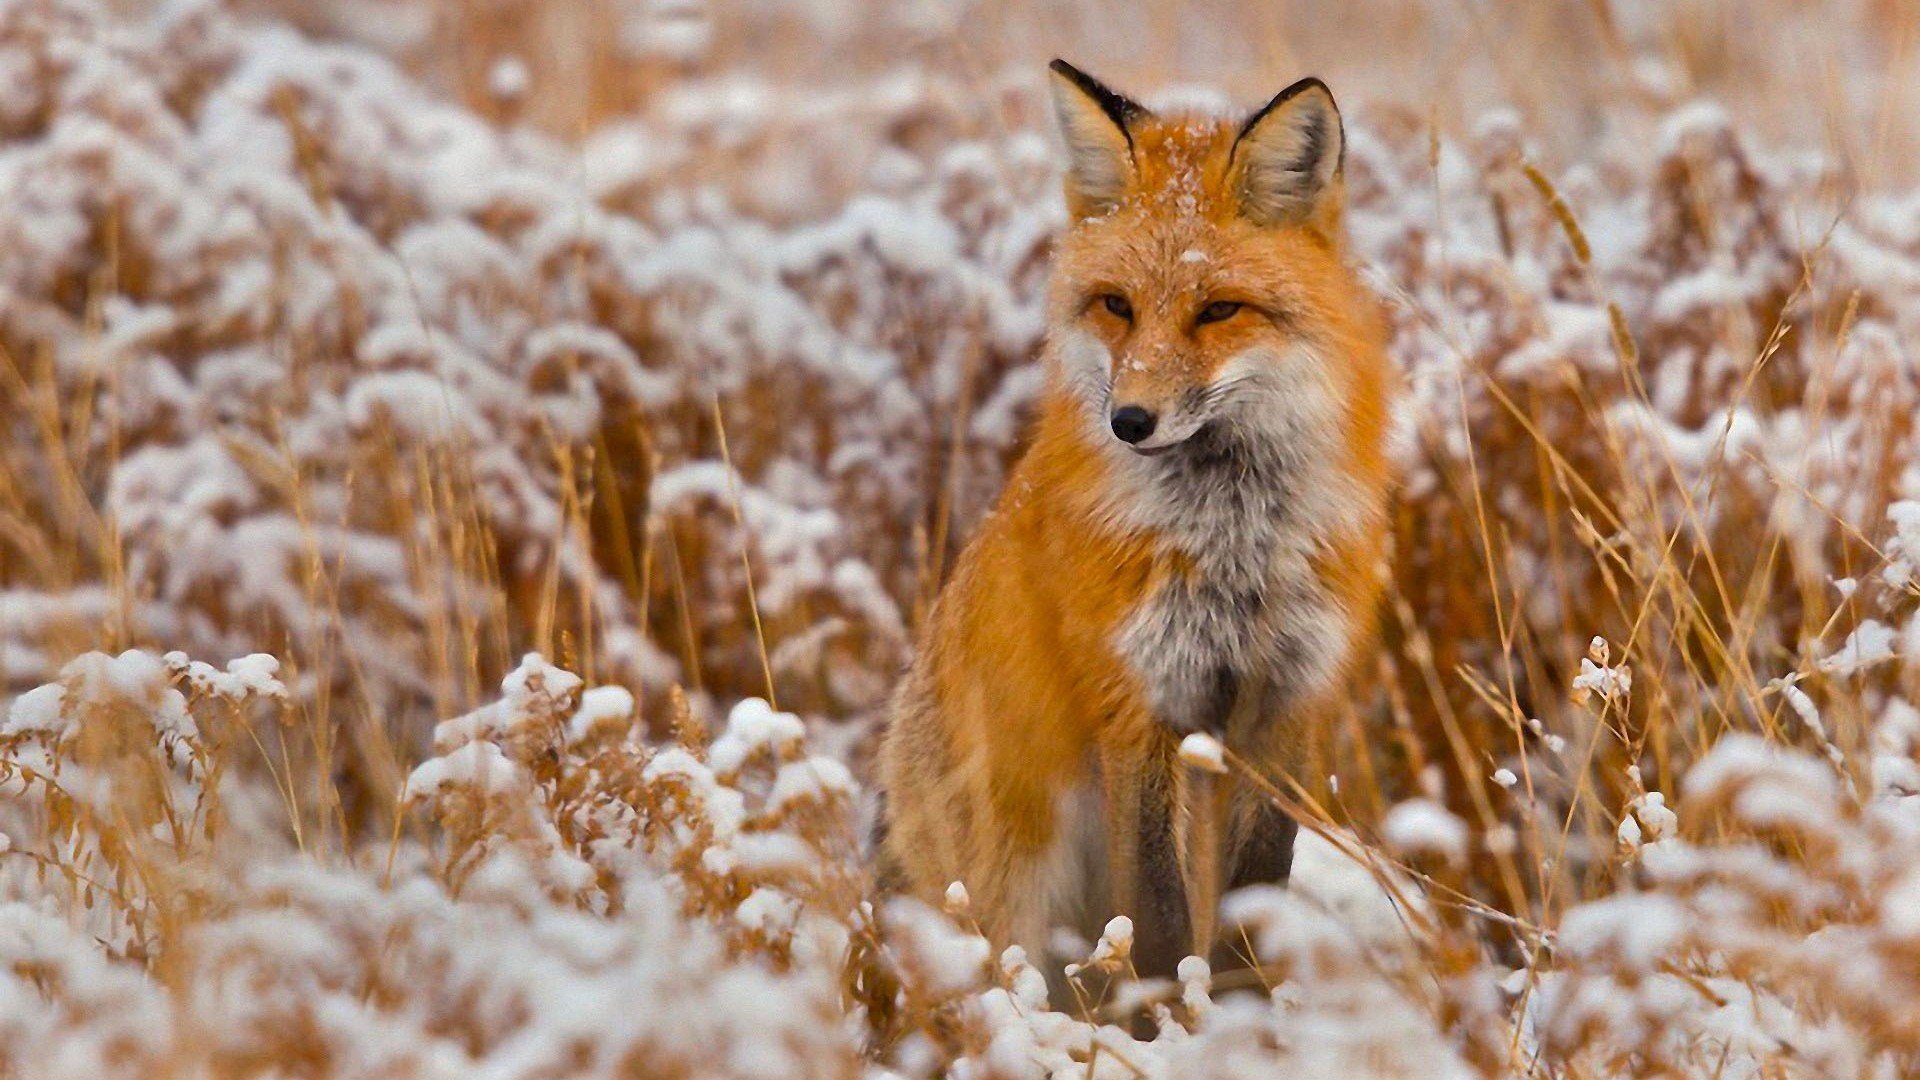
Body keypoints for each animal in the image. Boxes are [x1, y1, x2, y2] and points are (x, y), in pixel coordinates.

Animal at [875, 60, 1396, 979]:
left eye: (1219, 310)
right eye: (1116, 305)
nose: (1130, 420)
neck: (1234, 543)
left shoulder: (1287, 702)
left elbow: (1254, 894)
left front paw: (1241, 1005)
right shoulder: (1137, 702)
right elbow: (1153, 916)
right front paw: (1164, 1006)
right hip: (1016, 883)